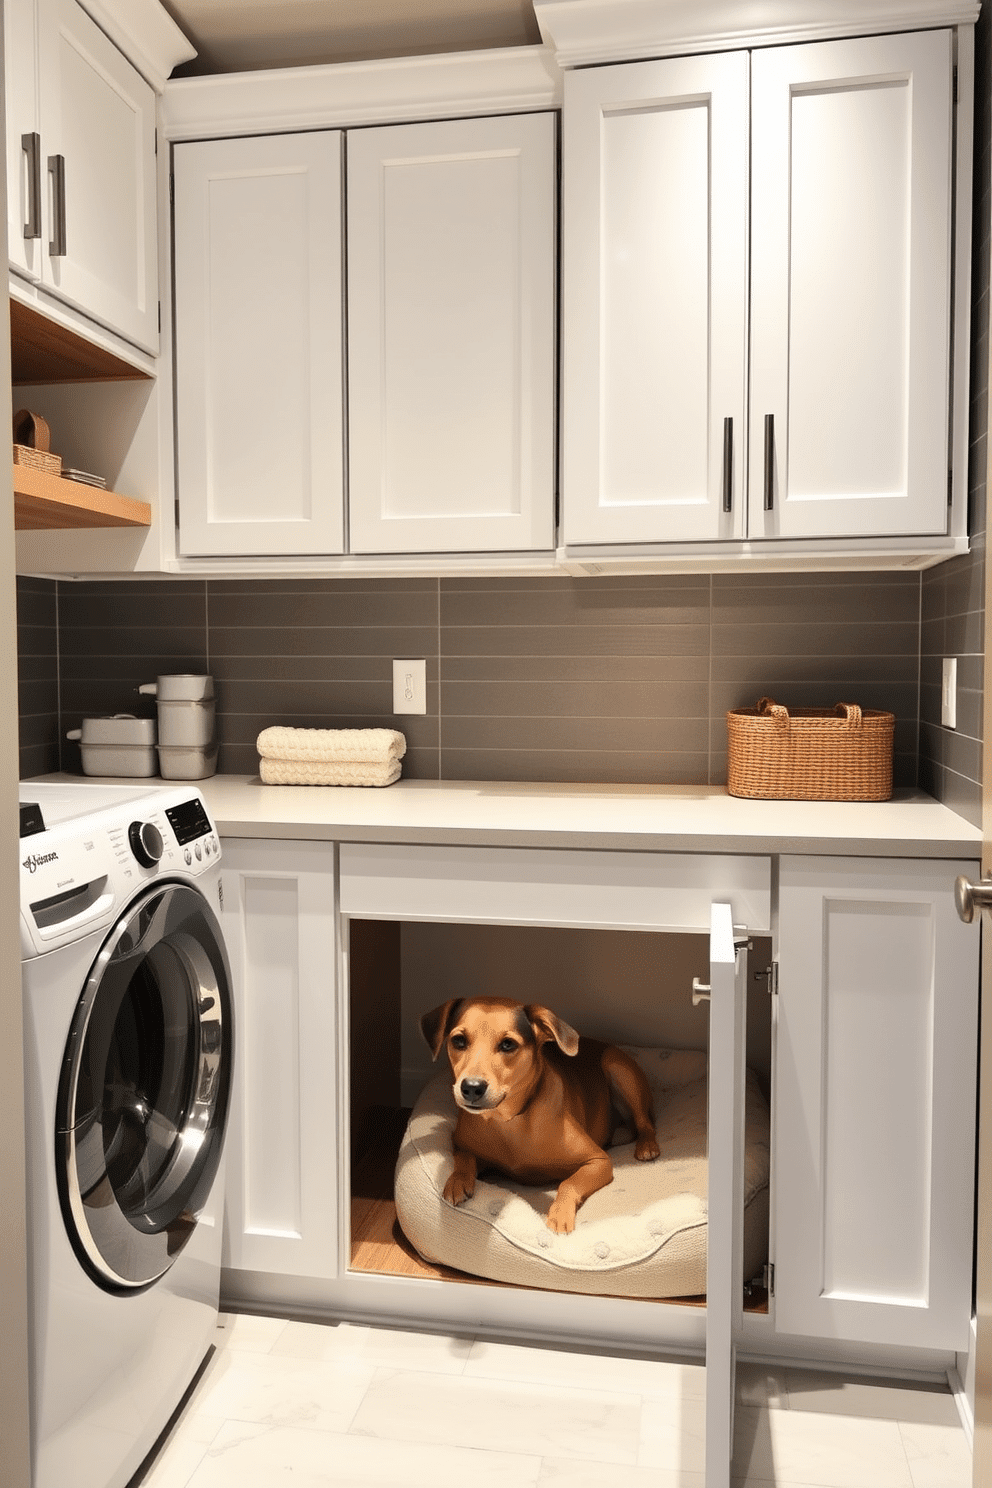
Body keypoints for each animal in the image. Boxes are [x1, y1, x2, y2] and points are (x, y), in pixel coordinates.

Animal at [419, 999, 660, 1232]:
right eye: (458, 1041)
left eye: (508, 1044)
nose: (471, 1087)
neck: (509, 1120)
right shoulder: (462, 1145)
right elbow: (464, 1157)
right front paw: (457, 1181)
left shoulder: (598, 1161)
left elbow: (568, 1183)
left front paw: (559, 1215)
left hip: (619, 1070)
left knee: (645, 1123)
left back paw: (647, 1146)